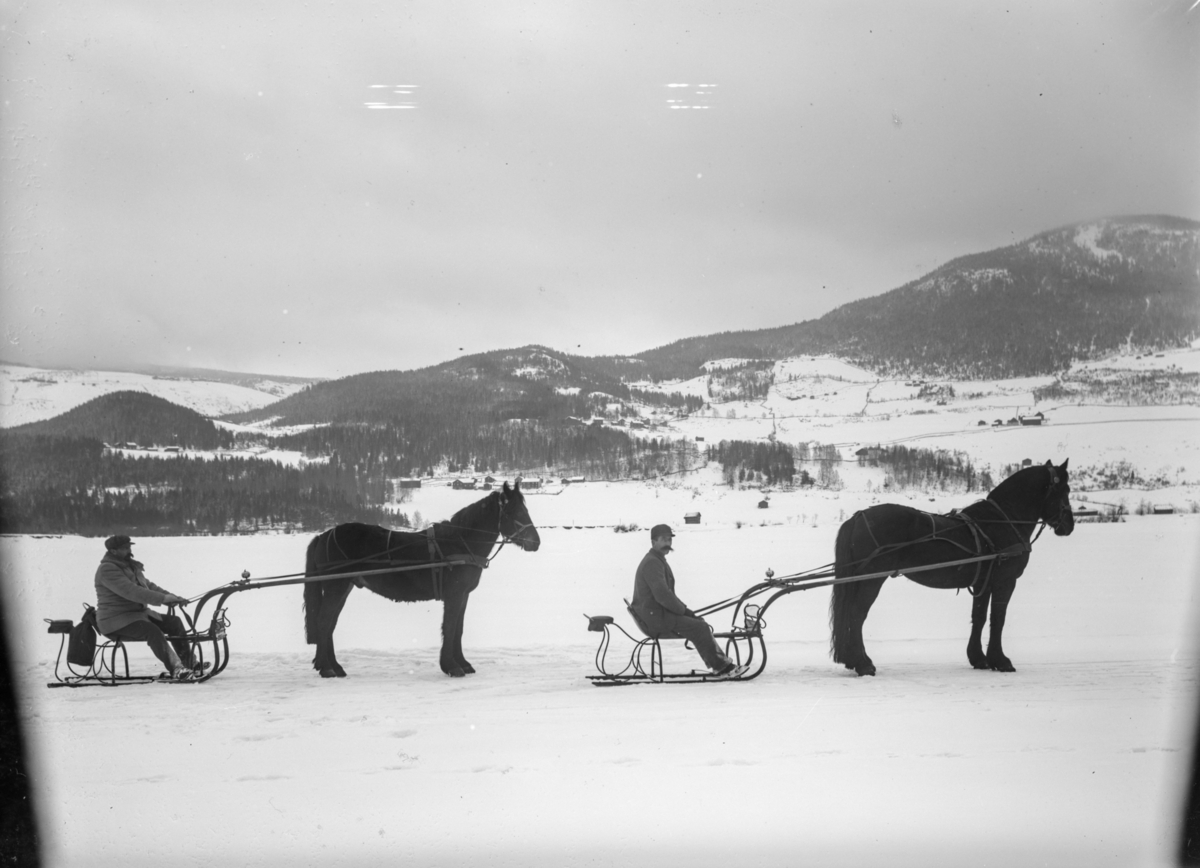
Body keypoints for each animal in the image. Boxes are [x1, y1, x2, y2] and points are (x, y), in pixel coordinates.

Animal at [302, 482, 542, 677]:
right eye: (515, 511)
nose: (536, 542)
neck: (459, 542)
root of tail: (323, 535)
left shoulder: (463, 595)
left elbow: (459, 628)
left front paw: (463, 663)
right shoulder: (454, 595)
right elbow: (450, 627)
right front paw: (451, 666)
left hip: (344, 587)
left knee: (330, 624)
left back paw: (334, 666)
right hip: (336, 586)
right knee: (324, 622)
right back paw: (327, 668)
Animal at [830, 461, 1075, 677]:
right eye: (1064, 489)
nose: (1069, 526)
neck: (1003, 521)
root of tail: (859, 516)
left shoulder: (983, 583)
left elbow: (979, 617)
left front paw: (979, 658)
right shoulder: (1005, 581)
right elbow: (998, 619)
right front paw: (1001, 660)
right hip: (871, 579)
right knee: (857, 615)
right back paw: (863, 664)